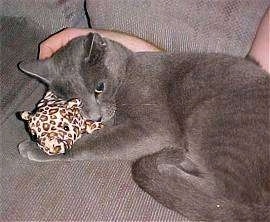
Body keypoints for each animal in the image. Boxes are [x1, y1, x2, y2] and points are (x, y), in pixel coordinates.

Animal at [17, 32, 268, 220]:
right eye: (72, 101)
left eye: (99, 87)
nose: (96, 117)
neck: (127, 75)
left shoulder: (154, 127)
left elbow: (96, 142)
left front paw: (36, 148)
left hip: (210, 118)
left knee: (224, 192)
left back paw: (169, 167)